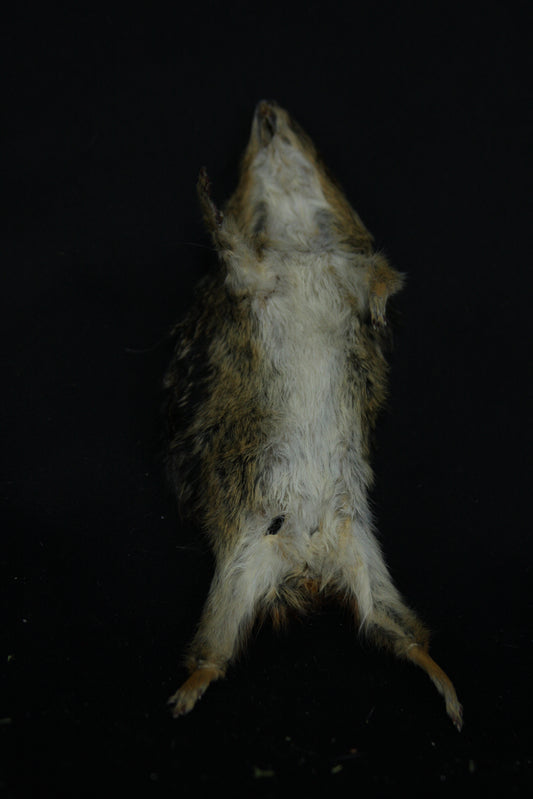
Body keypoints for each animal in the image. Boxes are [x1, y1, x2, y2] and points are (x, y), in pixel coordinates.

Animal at [163, 100, 462, 730]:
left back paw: (449, 693)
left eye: (307, 139)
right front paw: (207, 199)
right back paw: (185, 694)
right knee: (213, 655)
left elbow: (380, 284)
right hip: (236, 581)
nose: (266, 109)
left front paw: (379, 310)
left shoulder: (356, 269)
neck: (299, 241)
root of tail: (308, 567)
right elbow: (236, 255)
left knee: (403, 636)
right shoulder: (250, 280)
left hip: (369, 569)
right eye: (247, 155)